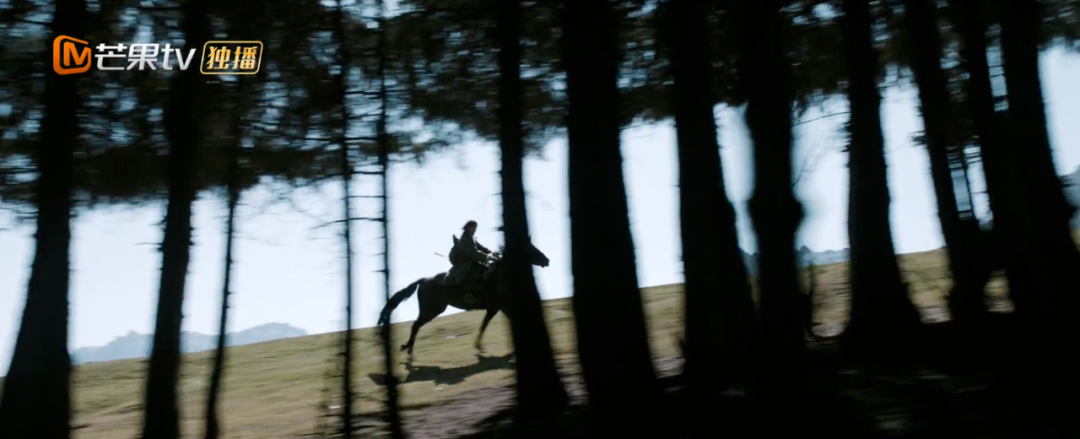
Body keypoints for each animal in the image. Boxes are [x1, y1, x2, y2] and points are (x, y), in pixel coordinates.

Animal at [377, 235, 550, 359]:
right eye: (530, 248)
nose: (547, 260)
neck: (500, 275)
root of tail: (423, 280)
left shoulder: (494, 308)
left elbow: (484, 324)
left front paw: (479, 347)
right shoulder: (502, 306)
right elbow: (498, 322)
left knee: (416, 325)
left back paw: (408, 349)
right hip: (431, 310)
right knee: (415, 325)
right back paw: (409, 350)